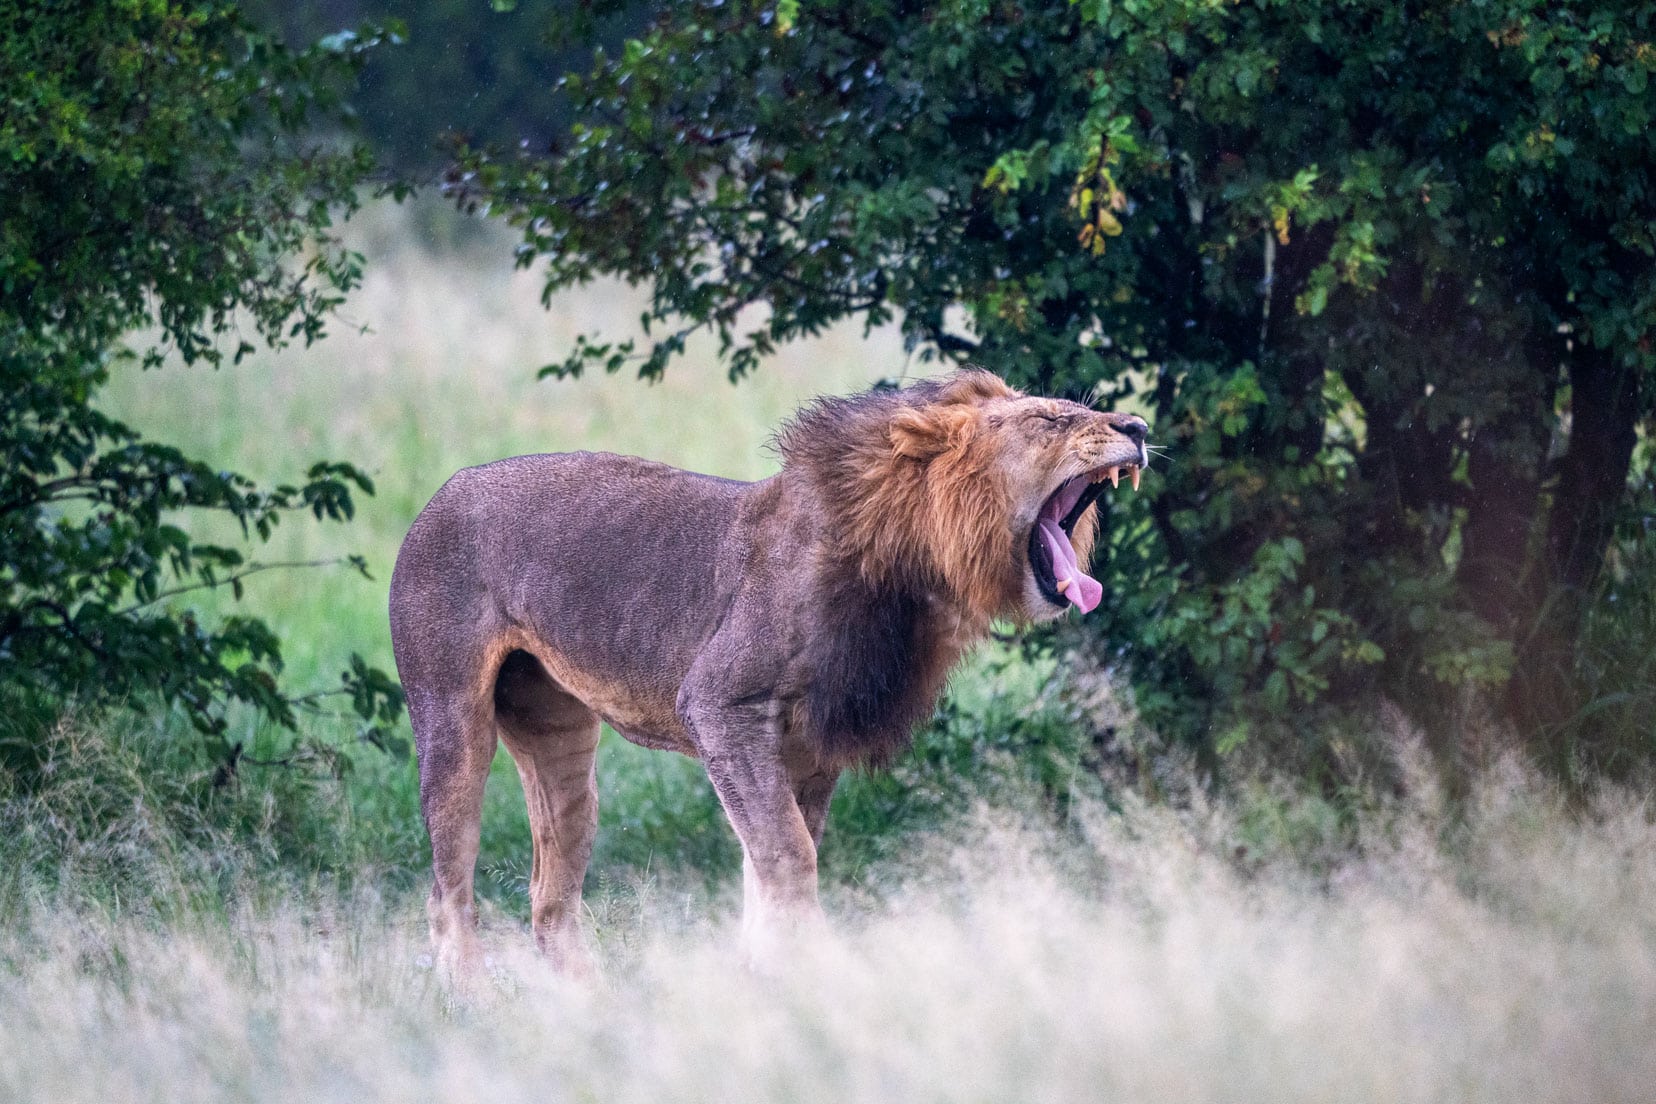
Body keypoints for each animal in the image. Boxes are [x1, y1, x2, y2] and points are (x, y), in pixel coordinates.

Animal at [384, 370, 1152, 973]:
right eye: (1049, 419)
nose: (1140, 425)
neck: (907, 566)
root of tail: (439, 494)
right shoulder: (720, 705)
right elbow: (787, 857)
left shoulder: (809, 747)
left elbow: (767, 867)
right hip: (451, 721)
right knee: (447, 892)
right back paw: (474, 1005)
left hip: (560, 742)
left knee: (549, 901)